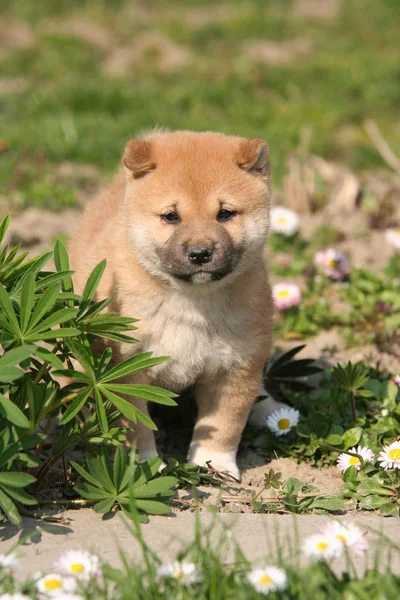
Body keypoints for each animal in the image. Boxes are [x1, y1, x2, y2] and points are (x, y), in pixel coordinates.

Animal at [71, 130, 284, 478]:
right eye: (171, 216)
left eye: (225, 213)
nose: (200, 253)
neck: (192, 301)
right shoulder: (127, 369)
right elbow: (136, 426)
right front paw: (142, 466)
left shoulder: (236, 368)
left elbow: (224, 424)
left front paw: (215, 465)